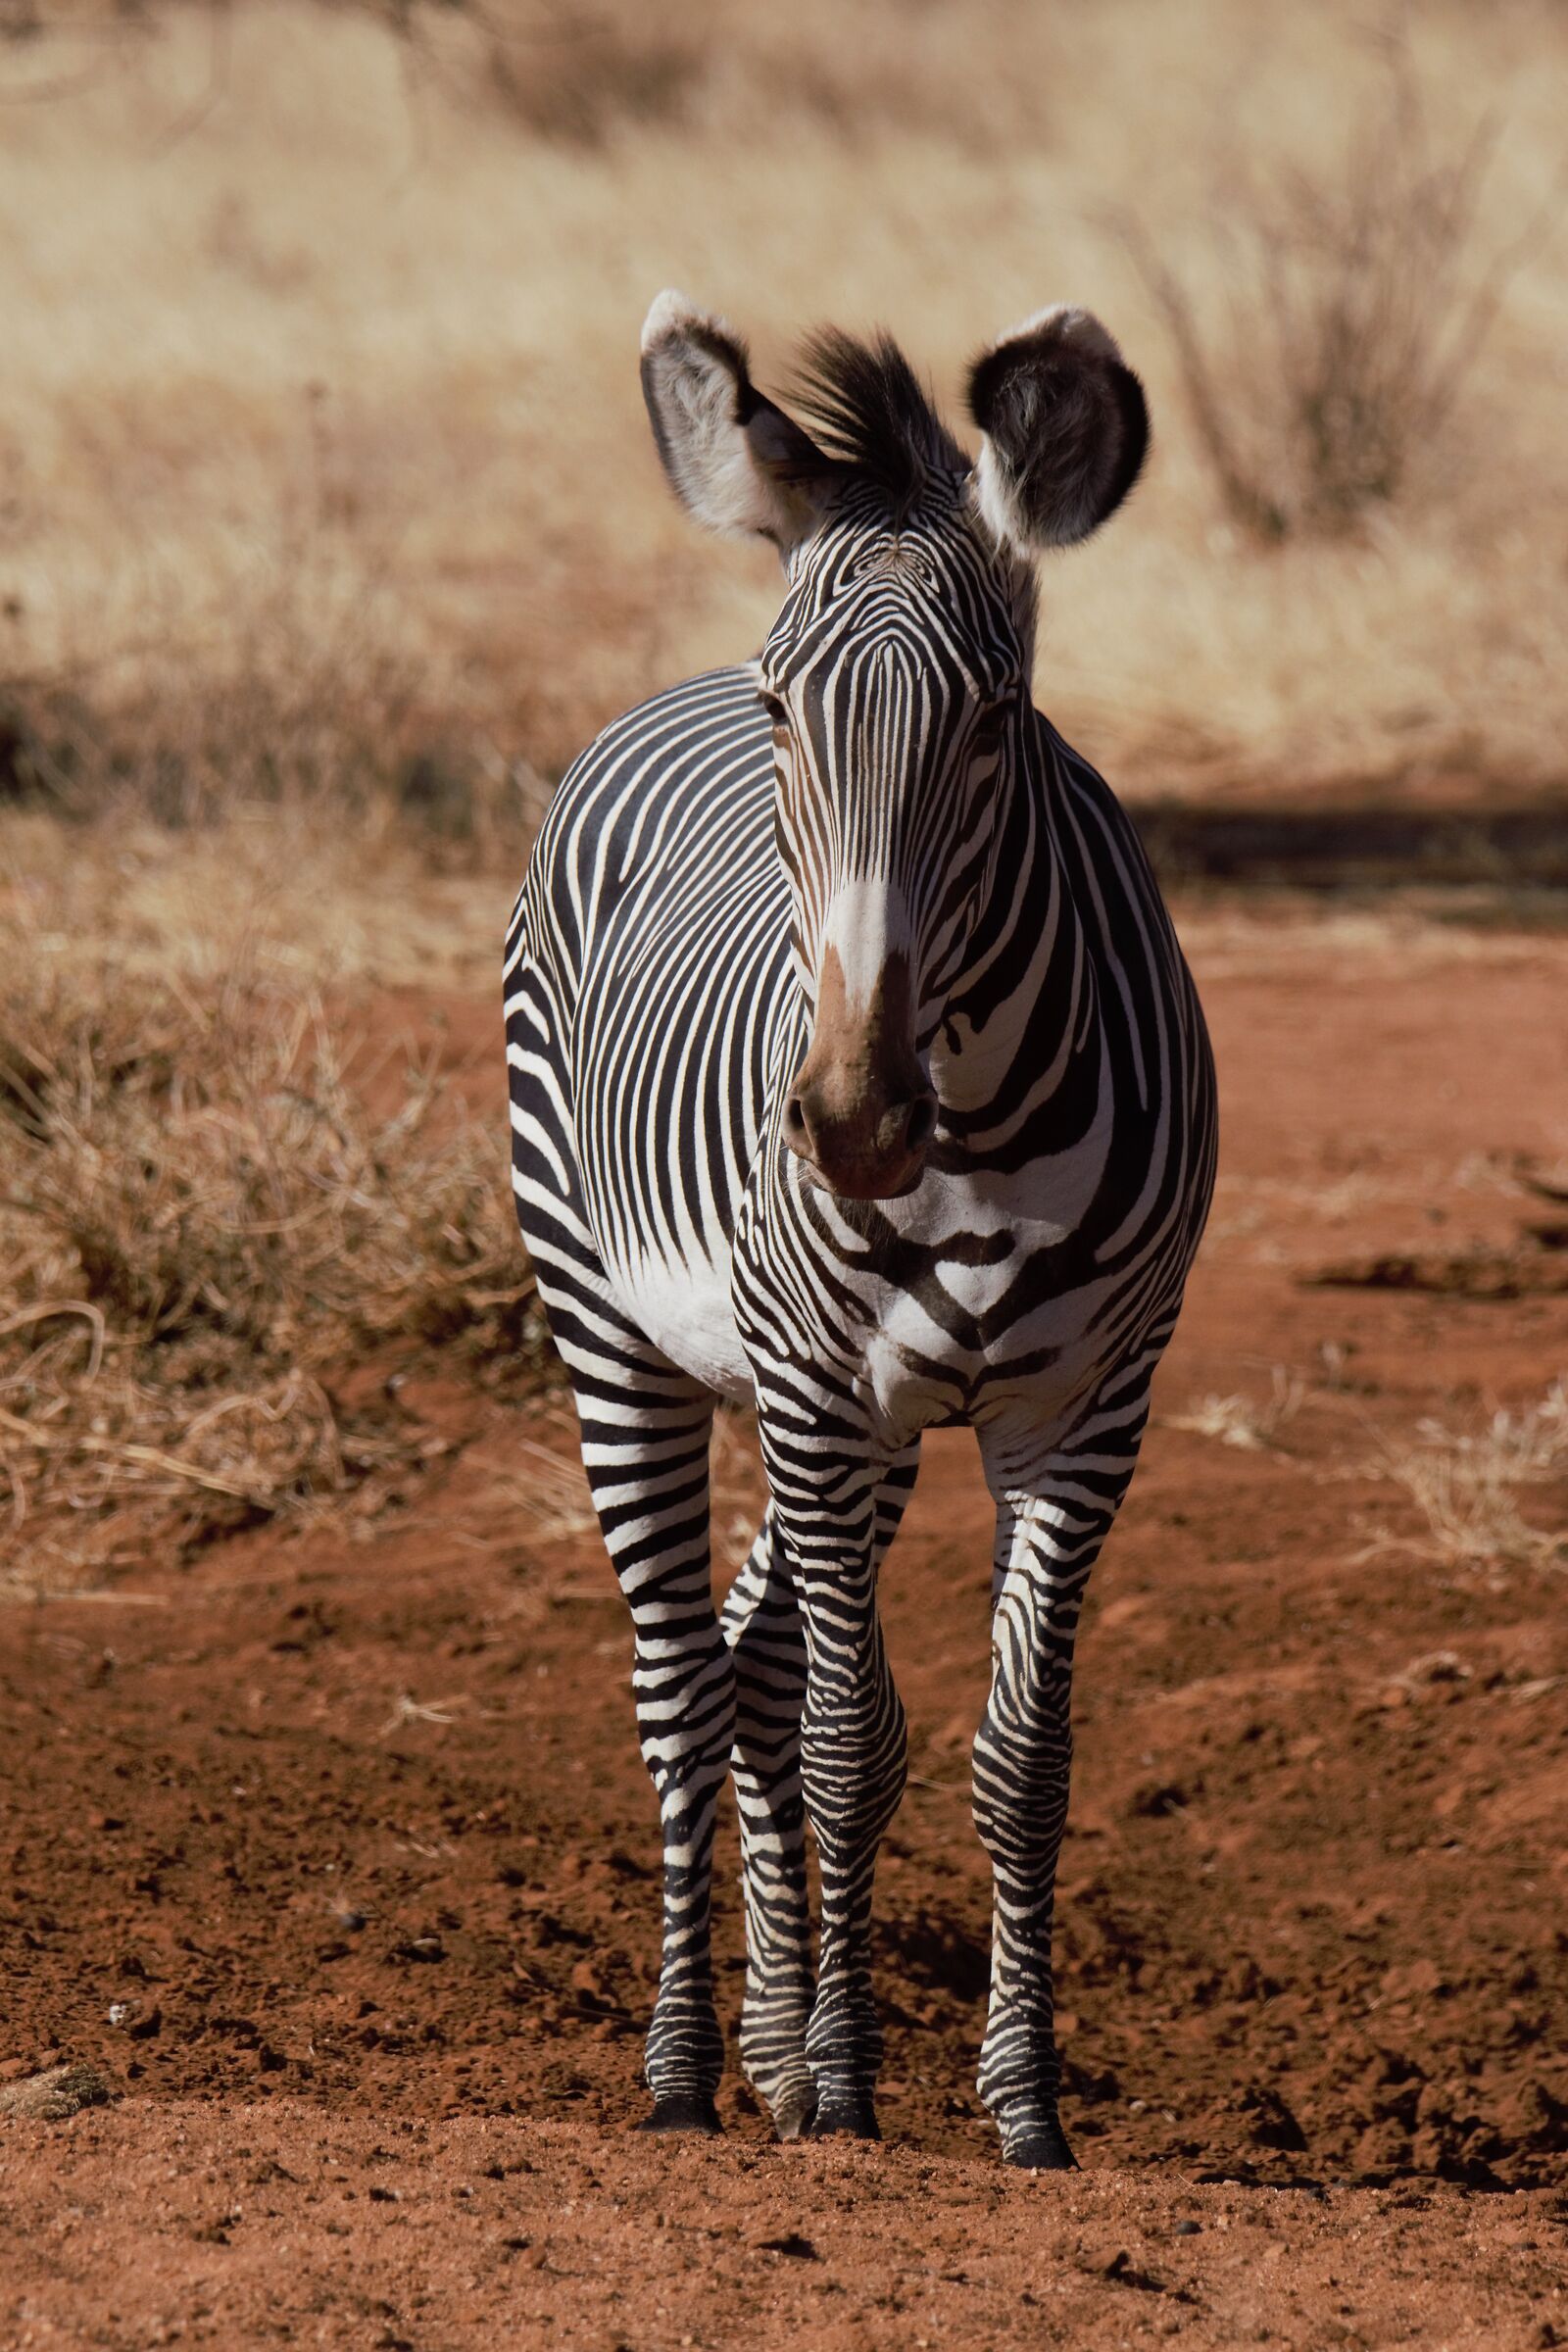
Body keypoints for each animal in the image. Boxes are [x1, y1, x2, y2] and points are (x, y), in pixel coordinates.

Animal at [503, 292, 1216, 2170]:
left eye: (995, 721)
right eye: (783, 714)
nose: (848, 1123)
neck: (971, 1127)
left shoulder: (1084, 1415)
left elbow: (1016, 1760)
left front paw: (1019, 2105)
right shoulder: (821, 1395)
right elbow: (845, 1742)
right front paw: (842, 2091)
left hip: (868, 1417)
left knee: (747, 1663)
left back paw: (759, 2043)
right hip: (623, 1335)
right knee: (687, 1689)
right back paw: (693, 2065)